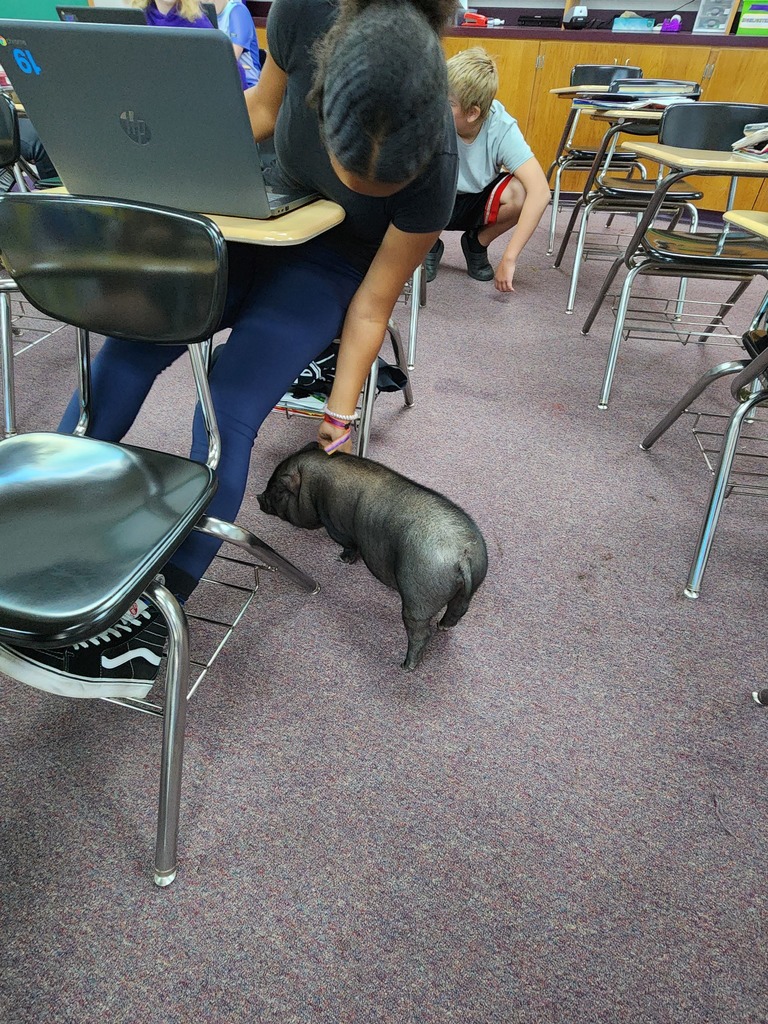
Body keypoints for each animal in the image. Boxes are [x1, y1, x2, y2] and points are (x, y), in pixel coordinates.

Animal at [257, 446, 488, 670]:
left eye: (277, 490)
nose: (258, 497)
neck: (313, 486)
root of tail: (462, 556)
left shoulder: (337, 527)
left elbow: (348, 546)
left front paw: (340, 559)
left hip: (419, 596)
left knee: (420, 631)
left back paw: (406, 666)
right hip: (472, 583)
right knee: (458, 610)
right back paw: (443, 627)